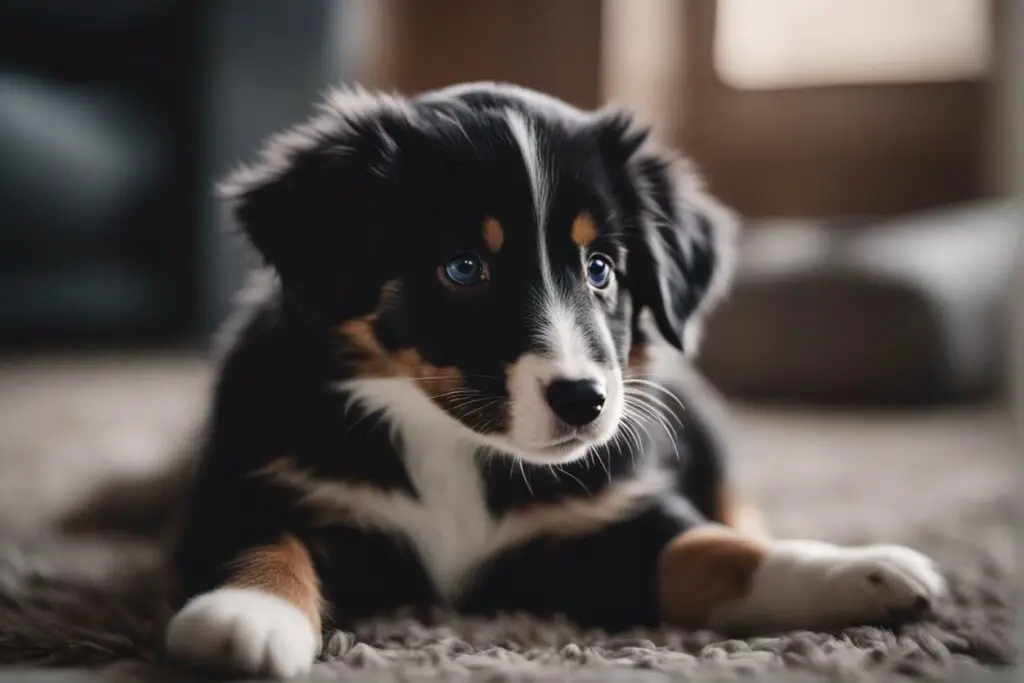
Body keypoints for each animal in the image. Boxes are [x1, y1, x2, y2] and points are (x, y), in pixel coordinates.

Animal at [165, 81, 942, 679]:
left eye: (600, 268)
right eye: (463, 267)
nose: (584, 401)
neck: (451, 449)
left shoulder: (607, 524)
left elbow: (719, 551)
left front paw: (864, 571)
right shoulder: (250, 485)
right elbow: (263, 542)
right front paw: (244, 616)